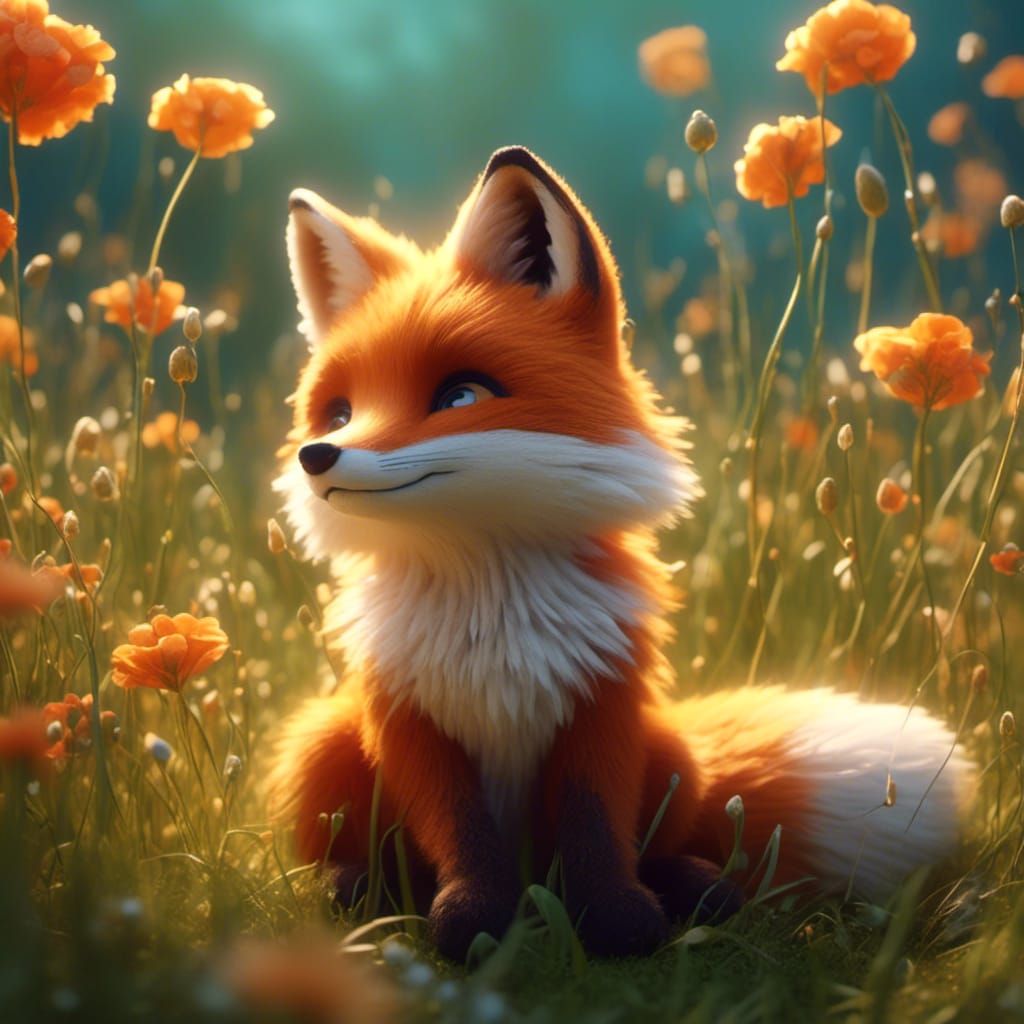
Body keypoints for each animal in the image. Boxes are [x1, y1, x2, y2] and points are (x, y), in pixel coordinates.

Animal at [269, 145, 973, 961]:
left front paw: (617, 922)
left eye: (459, 397)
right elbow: (459, 832)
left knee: (665, 842)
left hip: (670, 750)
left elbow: (597, 833)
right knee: (379, 857)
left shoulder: (602, 706)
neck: (490, 610)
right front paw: (474, 922)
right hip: (322, 747)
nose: (318, 456)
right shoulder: (409, 721)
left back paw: (695, 889)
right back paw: (363, 891)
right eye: (339, 413)